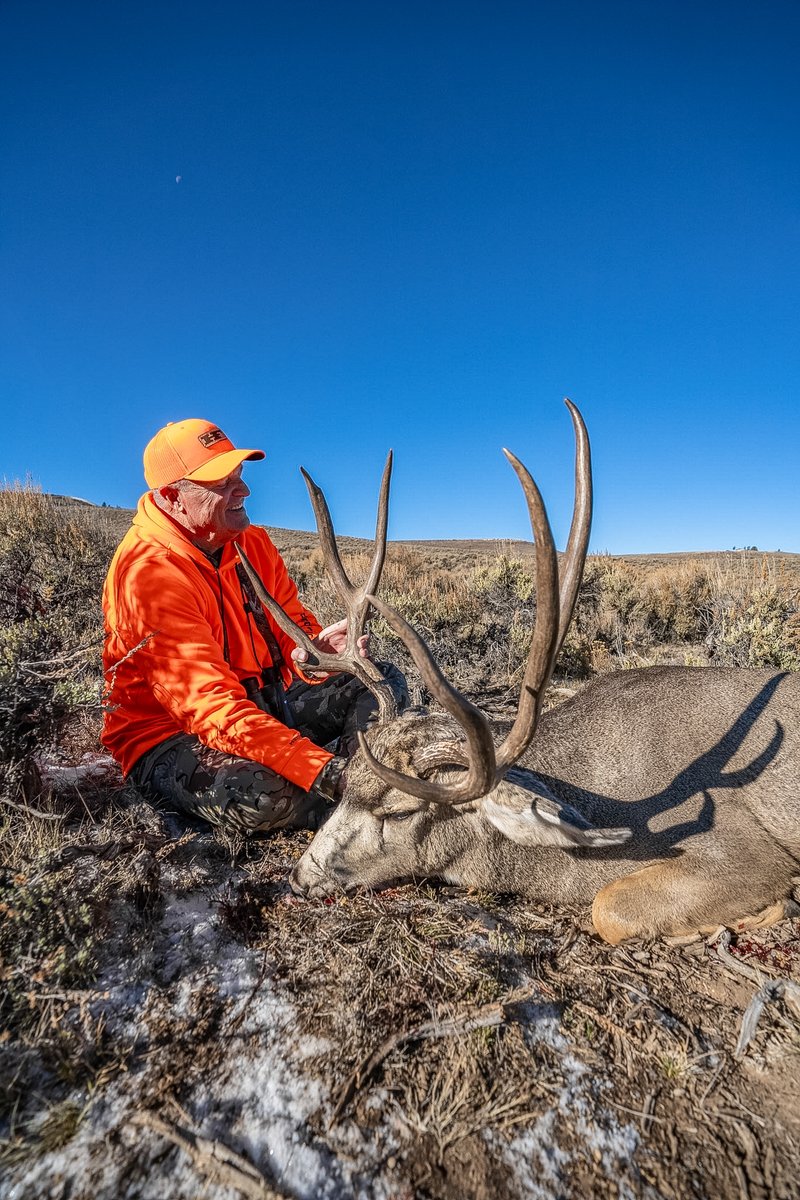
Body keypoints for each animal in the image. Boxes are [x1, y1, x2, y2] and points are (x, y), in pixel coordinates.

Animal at [236, 401, 800, 944]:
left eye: (398, 812)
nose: (300, 876)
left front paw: (757, 914)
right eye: (345, 784)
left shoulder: (742, 848)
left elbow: (608, 908)